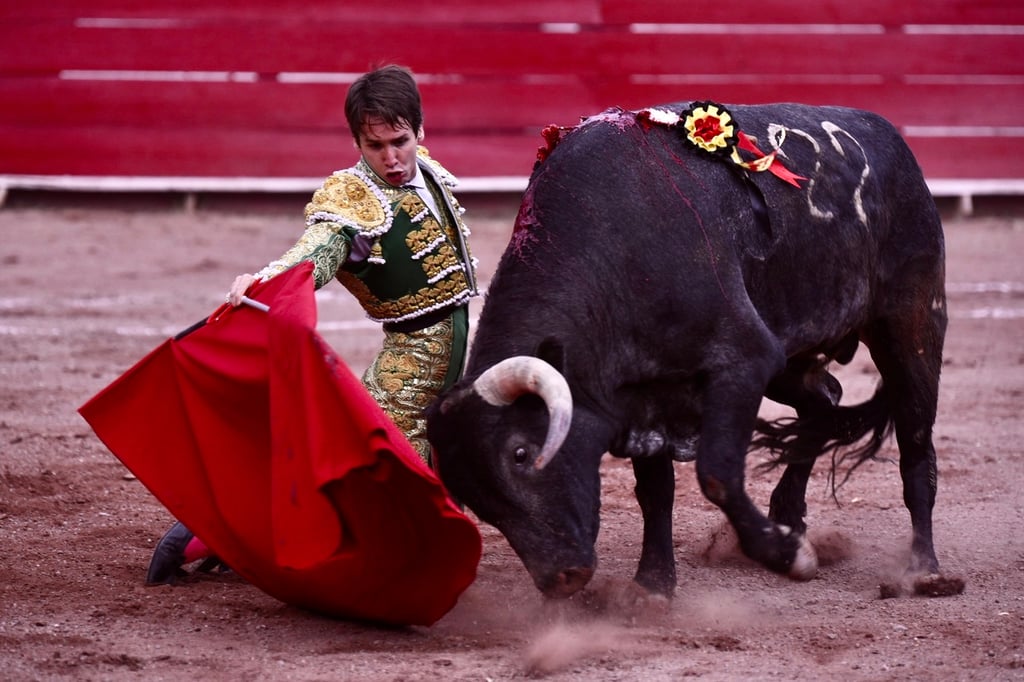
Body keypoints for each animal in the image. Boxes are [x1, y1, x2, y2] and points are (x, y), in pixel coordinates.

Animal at [425, 100, 958, 593]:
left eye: (519, 453)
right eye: (476, 499)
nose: (561, 578)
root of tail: (888, 135)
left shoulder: (745, 360)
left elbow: (717, 472)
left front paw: (787, 555)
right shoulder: (642, 392)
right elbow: (655, 492)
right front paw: (654, 585)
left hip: (911, 324)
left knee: (915, 443)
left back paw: (923, 569)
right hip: (791, 360)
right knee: (824, 402)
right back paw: (790, 514)